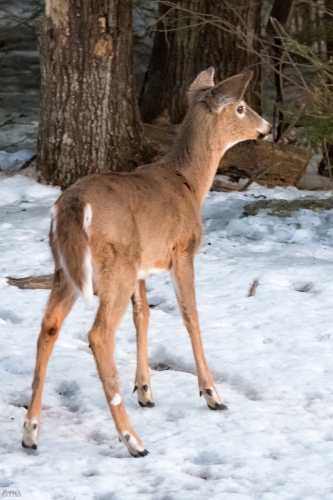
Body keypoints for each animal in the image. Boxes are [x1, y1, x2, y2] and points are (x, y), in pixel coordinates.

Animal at [21, 68, 270, 458]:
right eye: (242, 107)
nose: (268, 127)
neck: (190, 184)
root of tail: (73, 206)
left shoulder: (143, 265)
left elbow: (144, 316)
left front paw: (146, 392)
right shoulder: (181, 251)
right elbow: (190, 315)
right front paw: (212, 394)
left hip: (70, 268)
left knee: (48, 325)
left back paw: (30, 433)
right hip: (114, 265)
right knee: (98, 335)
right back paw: (133, 441)